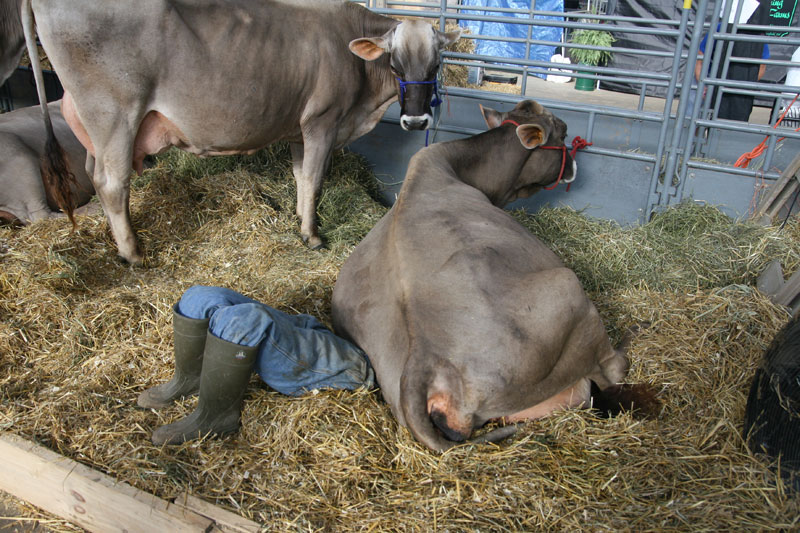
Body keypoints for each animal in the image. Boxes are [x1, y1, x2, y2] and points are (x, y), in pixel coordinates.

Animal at [18, 0, 460, 264]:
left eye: (436, 63)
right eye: (395, 63)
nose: (417, 123)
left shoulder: (299, 130)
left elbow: (301, 178)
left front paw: (298, 219)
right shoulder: (323, 120)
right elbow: (316, 179)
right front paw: (313, 236)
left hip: (92, 123)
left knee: (93, 176)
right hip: (113, 114)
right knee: (113, 184)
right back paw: (134, 254)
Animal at [332, 98, 656, 448]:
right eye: (564, 130)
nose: (574, 166)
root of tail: (423, 354)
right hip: (566, 289)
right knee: (607, 371)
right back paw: (635, 333)